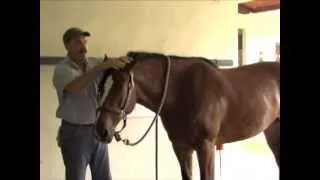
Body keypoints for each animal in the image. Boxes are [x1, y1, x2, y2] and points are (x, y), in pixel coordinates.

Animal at [95, 51, 280, 179]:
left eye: (121, 85)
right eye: (105, 85)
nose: (101, 129)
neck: (182, 90)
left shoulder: (206, 147)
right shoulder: (181, 147)